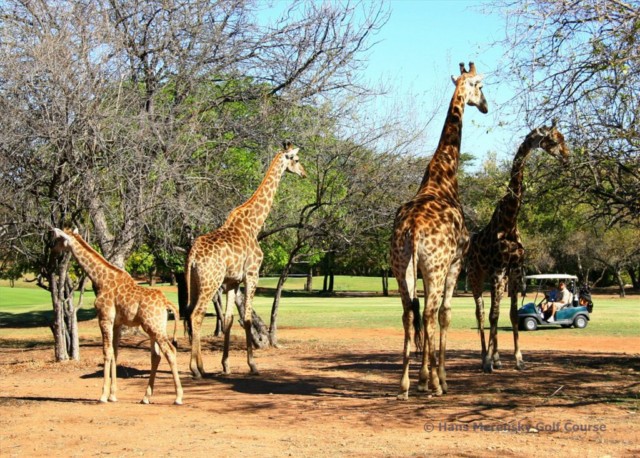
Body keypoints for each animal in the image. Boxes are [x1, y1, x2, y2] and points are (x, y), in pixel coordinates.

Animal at [51, 226, 184, 404]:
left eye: (58, 239)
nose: (53, 252)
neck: (100, 279)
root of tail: (166, 303)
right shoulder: (117, 323)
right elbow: (115, 352)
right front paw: (113, 395)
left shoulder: (105, 317)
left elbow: (107, 352)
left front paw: (103, 396)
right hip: (155, 327)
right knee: (156, 356)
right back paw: (145, 397)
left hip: (154, 326)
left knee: (170, 351)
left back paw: (178, 397)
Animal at [185, 141, 304, 378]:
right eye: (296, 159)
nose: (304, 173)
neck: (254, 224)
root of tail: (192, 255)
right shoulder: (252, 274)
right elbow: (247, 319)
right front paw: (253, 365)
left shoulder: (232, 282)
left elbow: (230, 319)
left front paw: (226, 365)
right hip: (210, 282)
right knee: (196, 314)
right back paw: (195, 369)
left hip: (195, 282)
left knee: (191, 313)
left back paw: (201, 366)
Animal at [390, 62, 490, 398]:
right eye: (479, 87)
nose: (485, 106)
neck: (443, 178)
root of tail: (413, 228)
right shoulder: (456, 263)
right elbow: (446, 314)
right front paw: (440, 378)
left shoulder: (422, 268)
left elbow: (421, 314)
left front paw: (422, 377)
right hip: (435, 267)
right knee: (430, 314)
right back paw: (435, 383)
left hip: (400, 266)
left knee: (409, 313)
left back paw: (405, 384)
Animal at [464, 121, 568, 372]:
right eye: (554, 140)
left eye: (563, 138)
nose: (567, 158)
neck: (510, 221)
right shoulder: (498, 269)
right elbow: (492, 315)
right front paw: (489, 362)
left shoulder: (515, 269)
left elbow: (510, 314)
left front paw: (519, 360)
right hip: (475, 274)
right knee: (481, 311)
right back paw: (485, 358)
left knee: (493, 309)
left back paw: (497, 358)